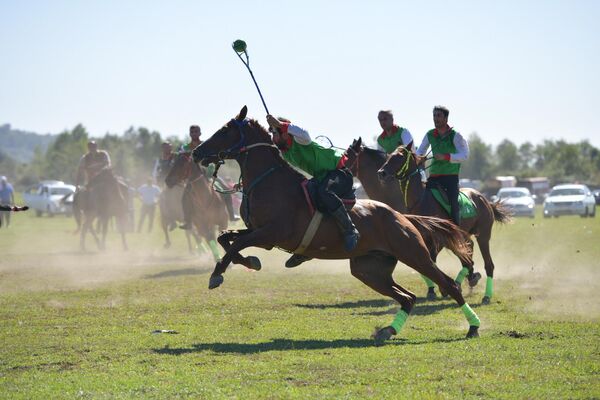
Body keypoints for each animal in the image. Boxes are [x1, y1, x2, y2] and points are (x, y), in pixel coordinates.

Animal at [192, 107, 482, 344]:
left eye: (225, 130)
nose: (196, 152)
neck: (268, 180)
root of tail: (401, 216)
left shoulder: (271, 234)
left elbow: (236, 243)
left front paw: (218, 273)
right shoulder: (260, 233)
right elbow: (226, 239)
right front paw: (249, 262)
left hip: (414, 254)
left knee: (448, 285)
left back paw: (473, 326)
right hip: (369, 269)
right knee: (407, 297)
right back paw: (387, 330)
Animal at [380, 145, 510, 304]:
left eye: (400, 156)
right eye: (389, 155)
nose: (381, 173)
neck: (421, 200)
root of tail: (484, 199)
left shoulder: (439, 239)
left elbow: (432, 262)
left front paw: (443, 289)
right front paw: (436, 290)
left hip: (483, 236)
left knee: (487, 264)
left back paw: (485, 295)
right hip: (463, 235)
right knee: (468, 254)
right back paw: (469, 279)